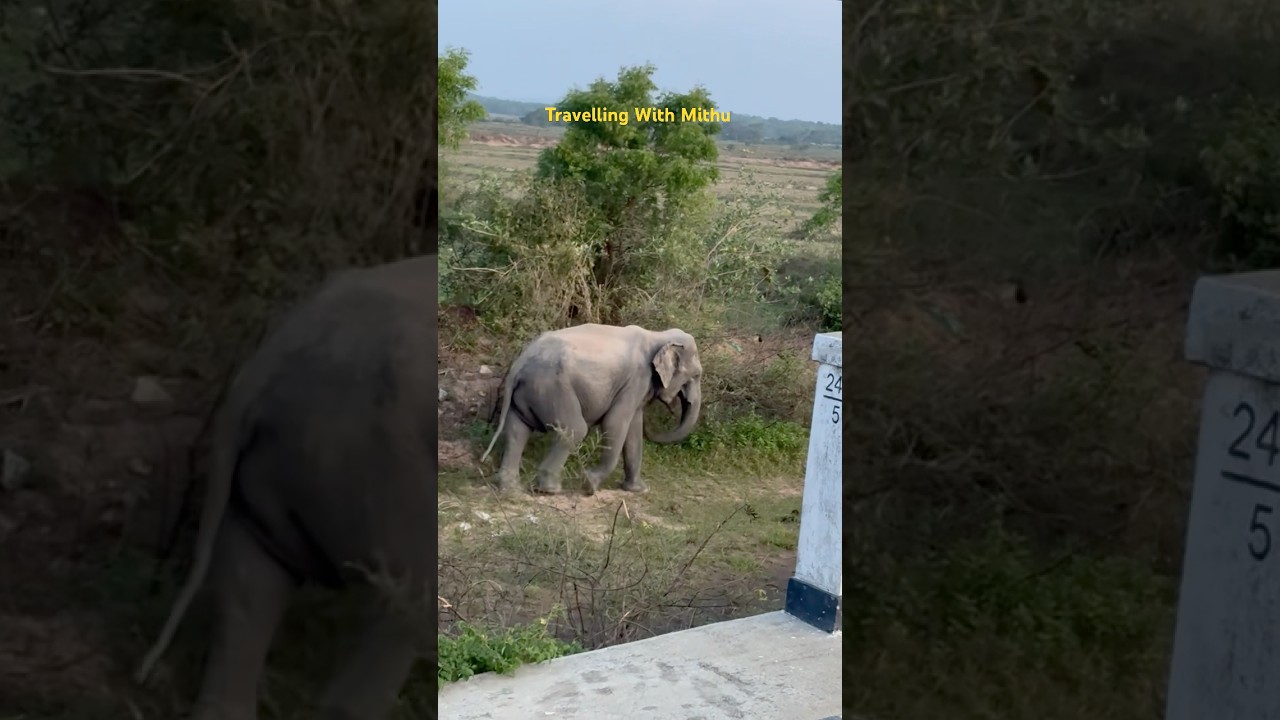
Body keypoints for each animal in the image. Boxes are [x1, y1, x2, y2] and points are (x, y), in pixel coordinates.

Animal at [480, 324, 703, 495]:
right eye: (697, 375)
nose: (675, 405)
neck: (658, 335)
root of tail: (519, 364)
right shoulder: (635, 380)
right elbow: (615, 423)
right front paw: (589, 485)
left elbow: (634, 429)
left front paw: (638, 490)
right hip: (552, 388)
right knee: (575, 429)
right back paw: (551, 490)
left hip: (528, 393)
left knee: (517, 430)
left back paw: (510, 489)